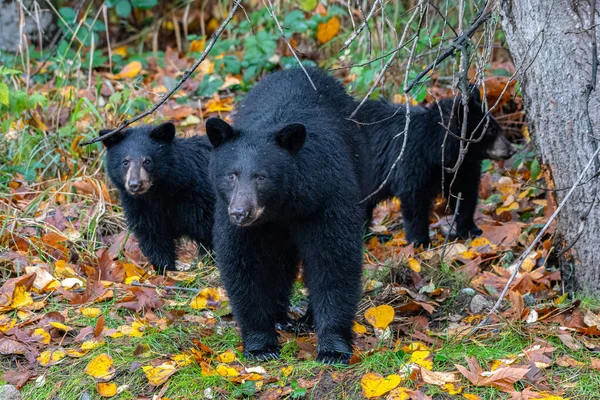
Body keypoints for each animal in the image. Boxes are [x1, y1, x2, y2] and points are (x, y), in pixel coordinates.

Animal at [101, 121, 216, 276]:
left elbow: (210, 230)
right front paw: (165, 270)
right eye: (125, 162)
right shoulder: (141, 208)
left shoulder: (199, 198)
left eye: (147, 161)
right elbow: (154, 237)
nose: (135, 184)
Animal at [205, 67, 366, 364]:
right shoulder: (234, 218)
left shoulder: (326, 198)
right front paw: (261, 345)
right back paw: (280, 318)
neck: (282, 207)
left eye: (261, 177)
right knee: (279, 262)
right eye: (231, 175)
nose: (240, 213)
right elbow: (244, 264)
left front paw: (333, 348)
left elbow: (334, 259)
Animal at [354, 87, 512, 247]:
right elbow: (414, 198)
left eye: (497, 128)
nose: (511, 150)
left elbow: (465, 193)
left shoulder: (462, 168)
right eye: (491, 130)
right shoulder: (412, 161)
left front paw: (470, 230)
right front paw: (420, 242)